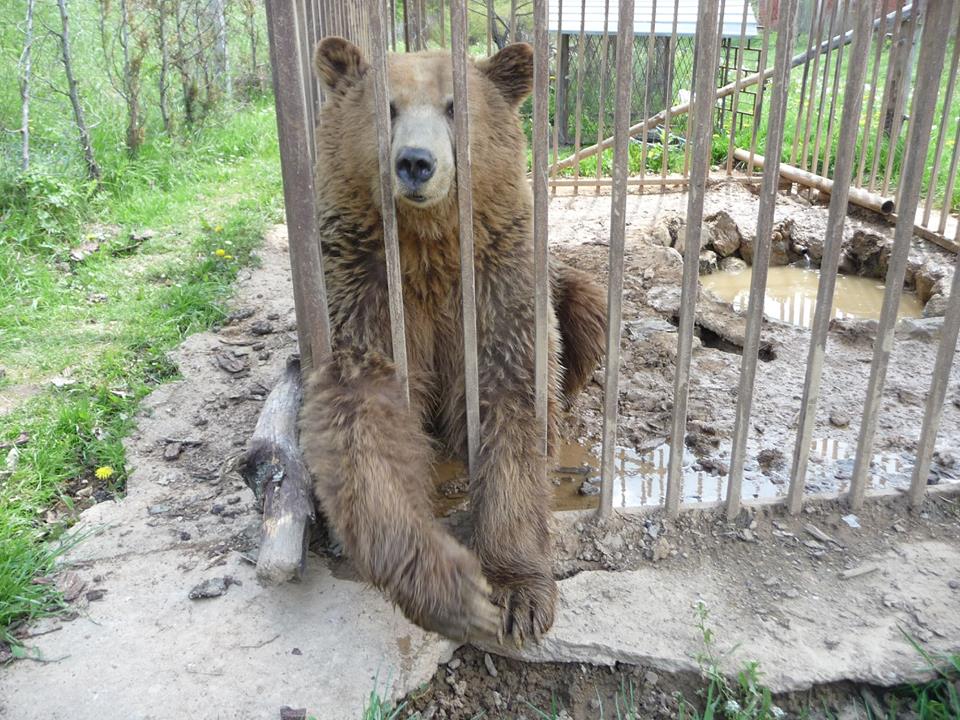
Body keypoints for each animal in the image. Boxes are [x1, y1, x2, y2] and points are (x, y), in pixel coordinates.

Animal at [299, 37, 606, 646]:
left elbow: (513, 404)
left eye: (453, 106)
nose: (416, 162)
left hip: (568, 287)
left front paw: (516, 594)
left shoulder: (496, 288)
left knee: (588, 311)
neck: (430, 250)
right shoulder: (367, 295)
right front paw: (453, 591)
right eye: (388, 107)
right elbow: (362, 430)